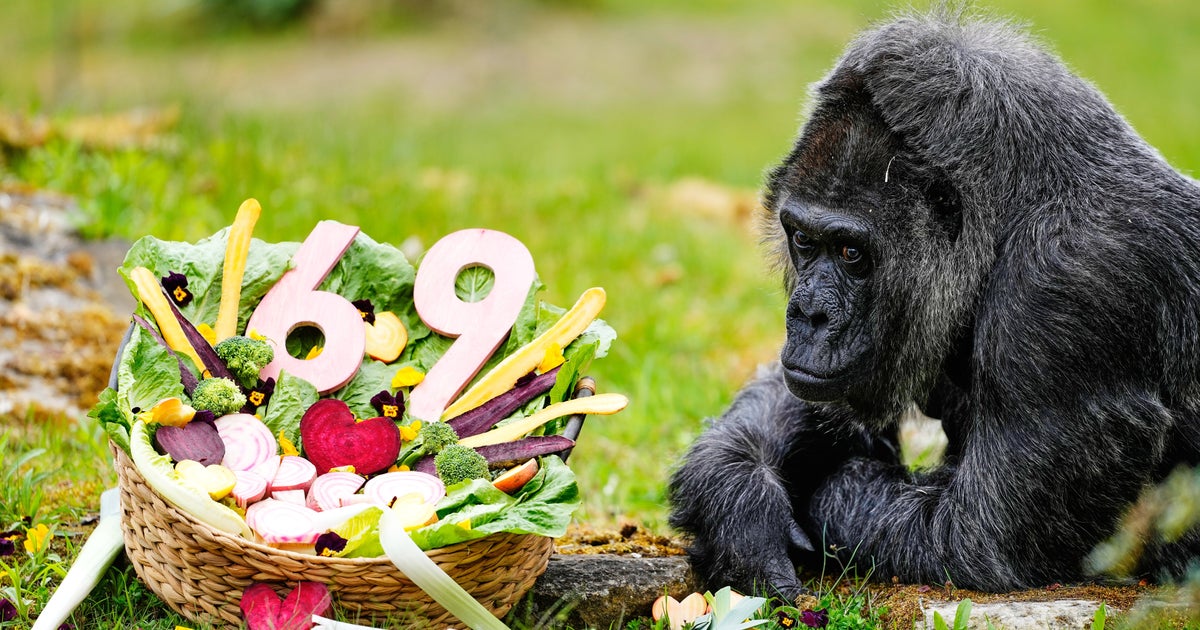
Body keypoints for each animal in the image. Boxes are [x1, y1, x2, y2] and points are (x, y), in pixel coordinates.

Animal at [668, 9, 1200, 598]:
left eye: (852, 253)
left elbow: (974, 537)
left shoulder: (1071, 288)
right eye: (804, 240)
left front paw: (824, 493)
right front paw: (739, 499)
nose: (808, 315)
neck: (1013, 217)